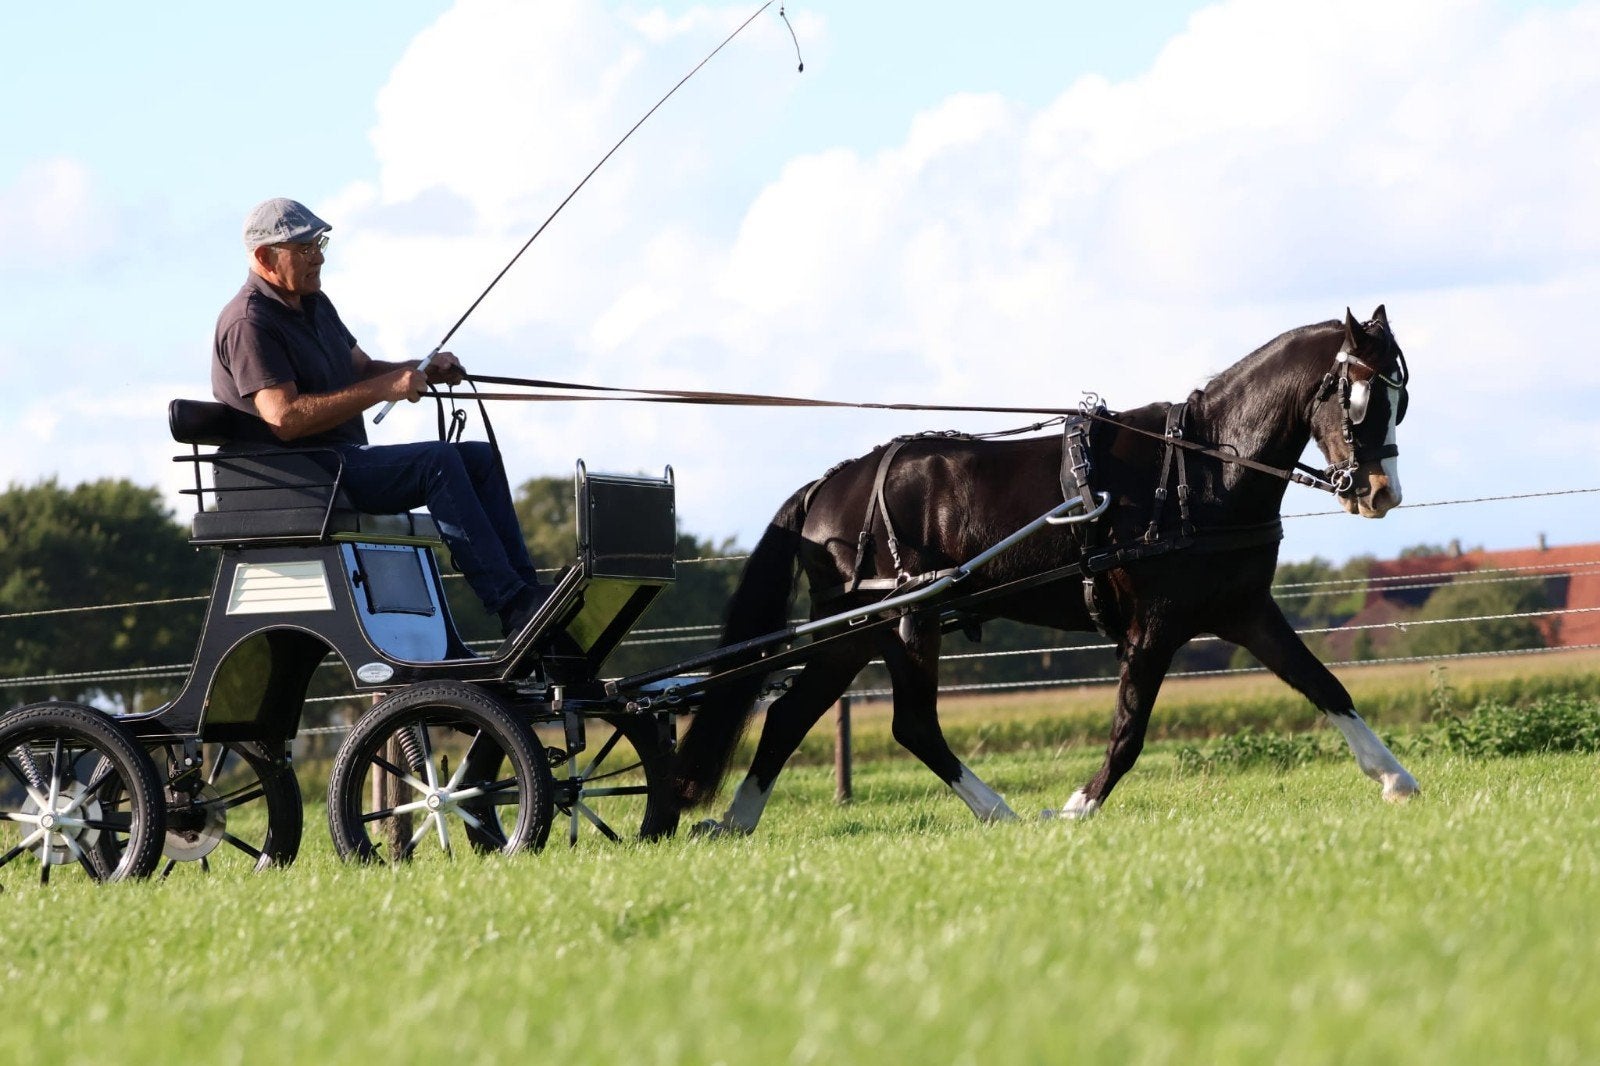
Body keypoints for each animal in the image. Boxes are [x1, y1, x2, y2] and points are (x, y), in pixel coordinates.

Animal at [673, 306, 1418, 833]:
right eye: (1358, 398)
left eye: (1400, 402)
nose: (1381, 493)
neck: (1201, 468)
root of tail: (831, 484)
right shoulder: (1154, 626)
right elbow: (1130, 727)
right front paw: (1078, 806)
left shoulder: (1244, 610)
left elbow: (1325, 685)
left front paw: (1394, 778)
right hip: (902, 619)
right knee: (907, 724)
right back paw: (999, 811)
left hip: (860, 631)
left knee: (793, 715)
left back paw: (736, 820)